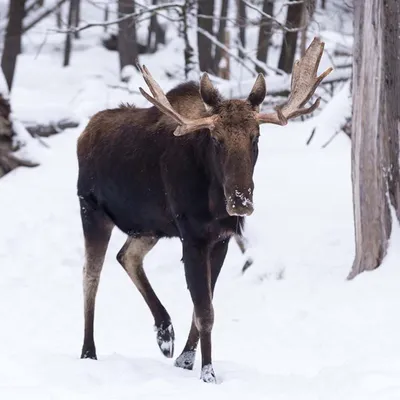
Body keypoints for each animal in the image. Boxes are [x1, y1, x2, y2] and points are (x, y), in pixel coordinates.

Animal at [75, 38, 332, 384]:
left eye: (256, 137)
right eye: (216, 139)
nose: (240, 201)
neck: (213, 202)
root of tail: (83, 133)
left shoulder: (220, 238)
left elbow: (203, 305)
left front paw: (186, 359)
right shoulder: (193, 235)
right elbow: (206, 311)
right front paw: (208, 372)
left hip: (149, 227)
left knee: (126, 256)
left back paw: (165, 334)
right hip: (91, 210)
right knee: (91, 276)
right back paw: (88, 351)